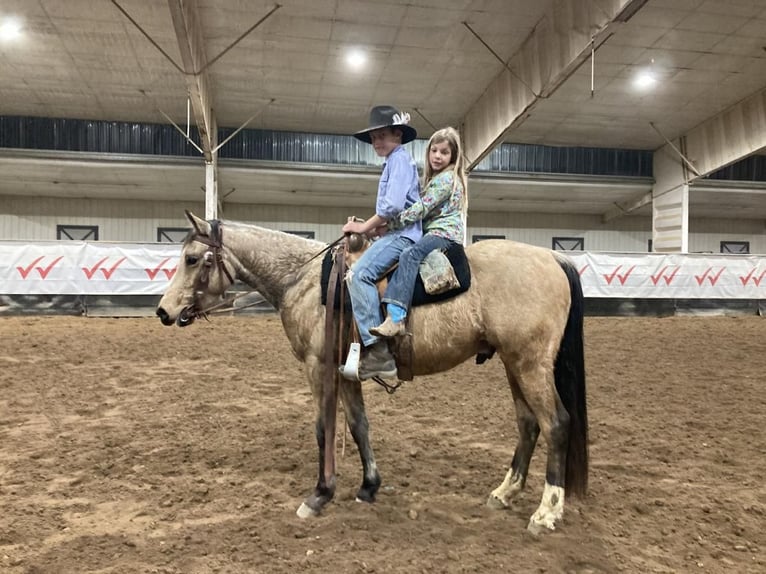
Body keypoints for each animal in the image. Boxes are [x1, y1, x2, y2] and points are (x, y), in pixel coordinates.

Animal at [154, 213, 588, 536]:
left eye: (192, 258)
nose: (163, 310)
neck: (305, 282)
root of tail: (553, 260)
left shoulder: (318, 368)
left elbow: (324, 428)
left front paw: (320, 494)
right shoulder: (346, 372)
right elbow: (358, 425)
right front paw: (368, 486)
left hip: (529, 363)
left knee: (556, 423)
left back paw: (546, 512)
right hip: (514, 364)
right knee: (528, 424)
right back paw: (504, 492)